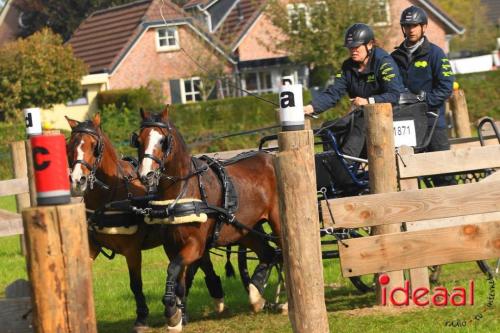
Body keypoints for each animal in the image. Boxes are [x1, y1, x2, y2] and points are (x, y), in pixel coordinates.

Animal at [66, 113, 225, 330]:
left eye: (93, 145)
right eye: (70, 145)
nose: (77, 180)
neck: (110, 197)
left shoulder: (132, 250)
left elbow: (136, 284)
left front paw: (142, 318)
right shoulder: (92, 247)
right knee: (200, 263)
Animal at [135, 106, 284, 330]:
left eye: (163, 140)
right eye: (138, 139)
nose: (146, 175)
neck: (184, 190)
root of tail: (271, 157)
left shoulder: (195, 245)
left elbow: (173, 269)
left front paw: (171, 311)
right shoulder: (171, 246)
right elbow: (179, 279)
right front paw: (178, 315)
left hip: (277, 221)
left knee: (285, 252)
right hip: (246, 230)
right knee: (269, 254)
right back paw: (257, 296)